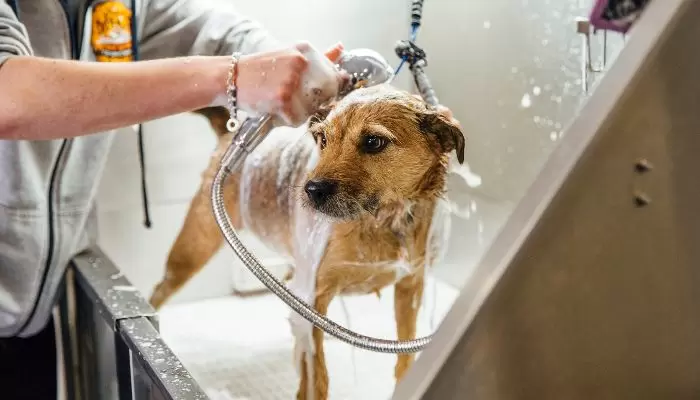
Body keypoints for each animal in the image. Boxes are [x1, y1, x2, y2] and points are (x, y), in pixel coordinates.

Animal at [148, 85, 464, 400]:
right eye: (323, 139)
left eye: (374, 142)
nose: (312, 190)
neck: (382, 222)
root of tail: (232, 133)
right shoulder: (314, 298)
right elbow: (318, 377)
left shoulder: (410, 288)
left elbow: (405, 357)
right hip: (192, 250)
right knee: (160, 290)